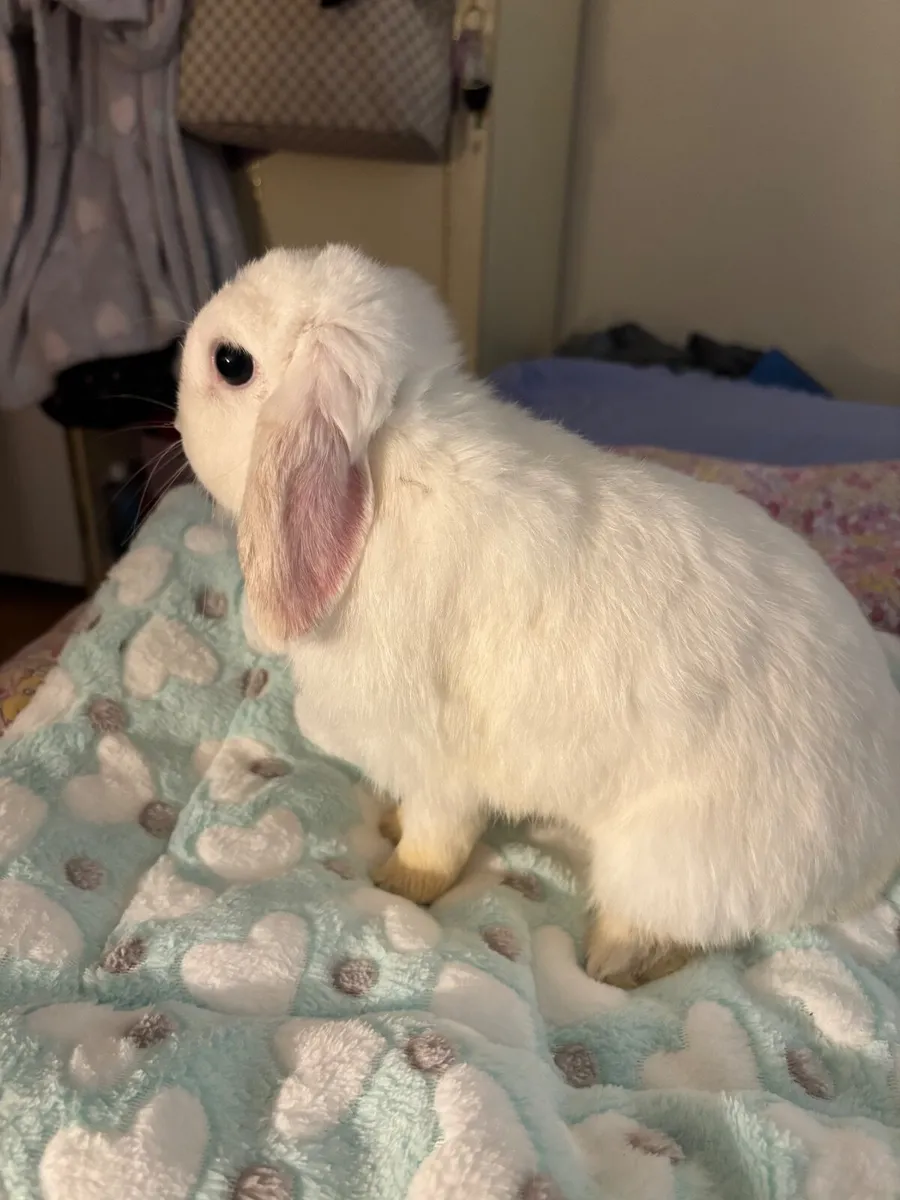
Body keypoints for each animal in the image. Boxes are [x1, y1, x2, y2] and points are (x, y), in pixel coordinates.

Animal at [177, 244, 900, 988]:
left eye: (231, 362)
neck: (389, 471)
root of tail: (874, 855)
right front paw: (387, 829)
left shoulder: (437, 768)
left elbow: (436, 844)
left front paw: (395, 886)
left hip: (670, 864)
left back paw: (609, 964)